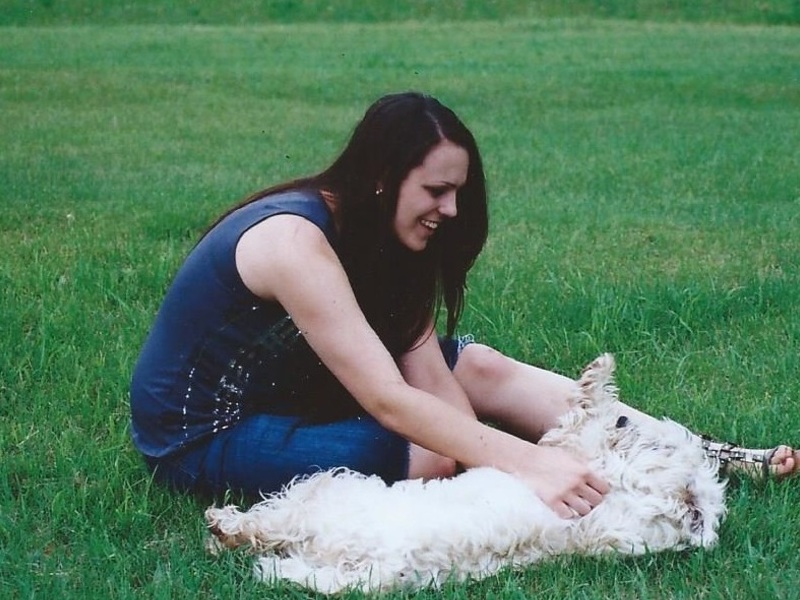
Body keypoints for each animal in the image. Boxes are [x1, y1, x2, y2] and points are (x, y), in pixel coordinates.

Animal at [205, 354, 724, 592]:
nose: (623, 422)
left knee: (265, 523)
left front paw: (598, 378)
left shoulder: (576, 454)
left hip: (329, 490)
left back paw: (222, 527)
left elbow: (579, 416)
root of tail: (379, 567)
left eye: (659, 443)